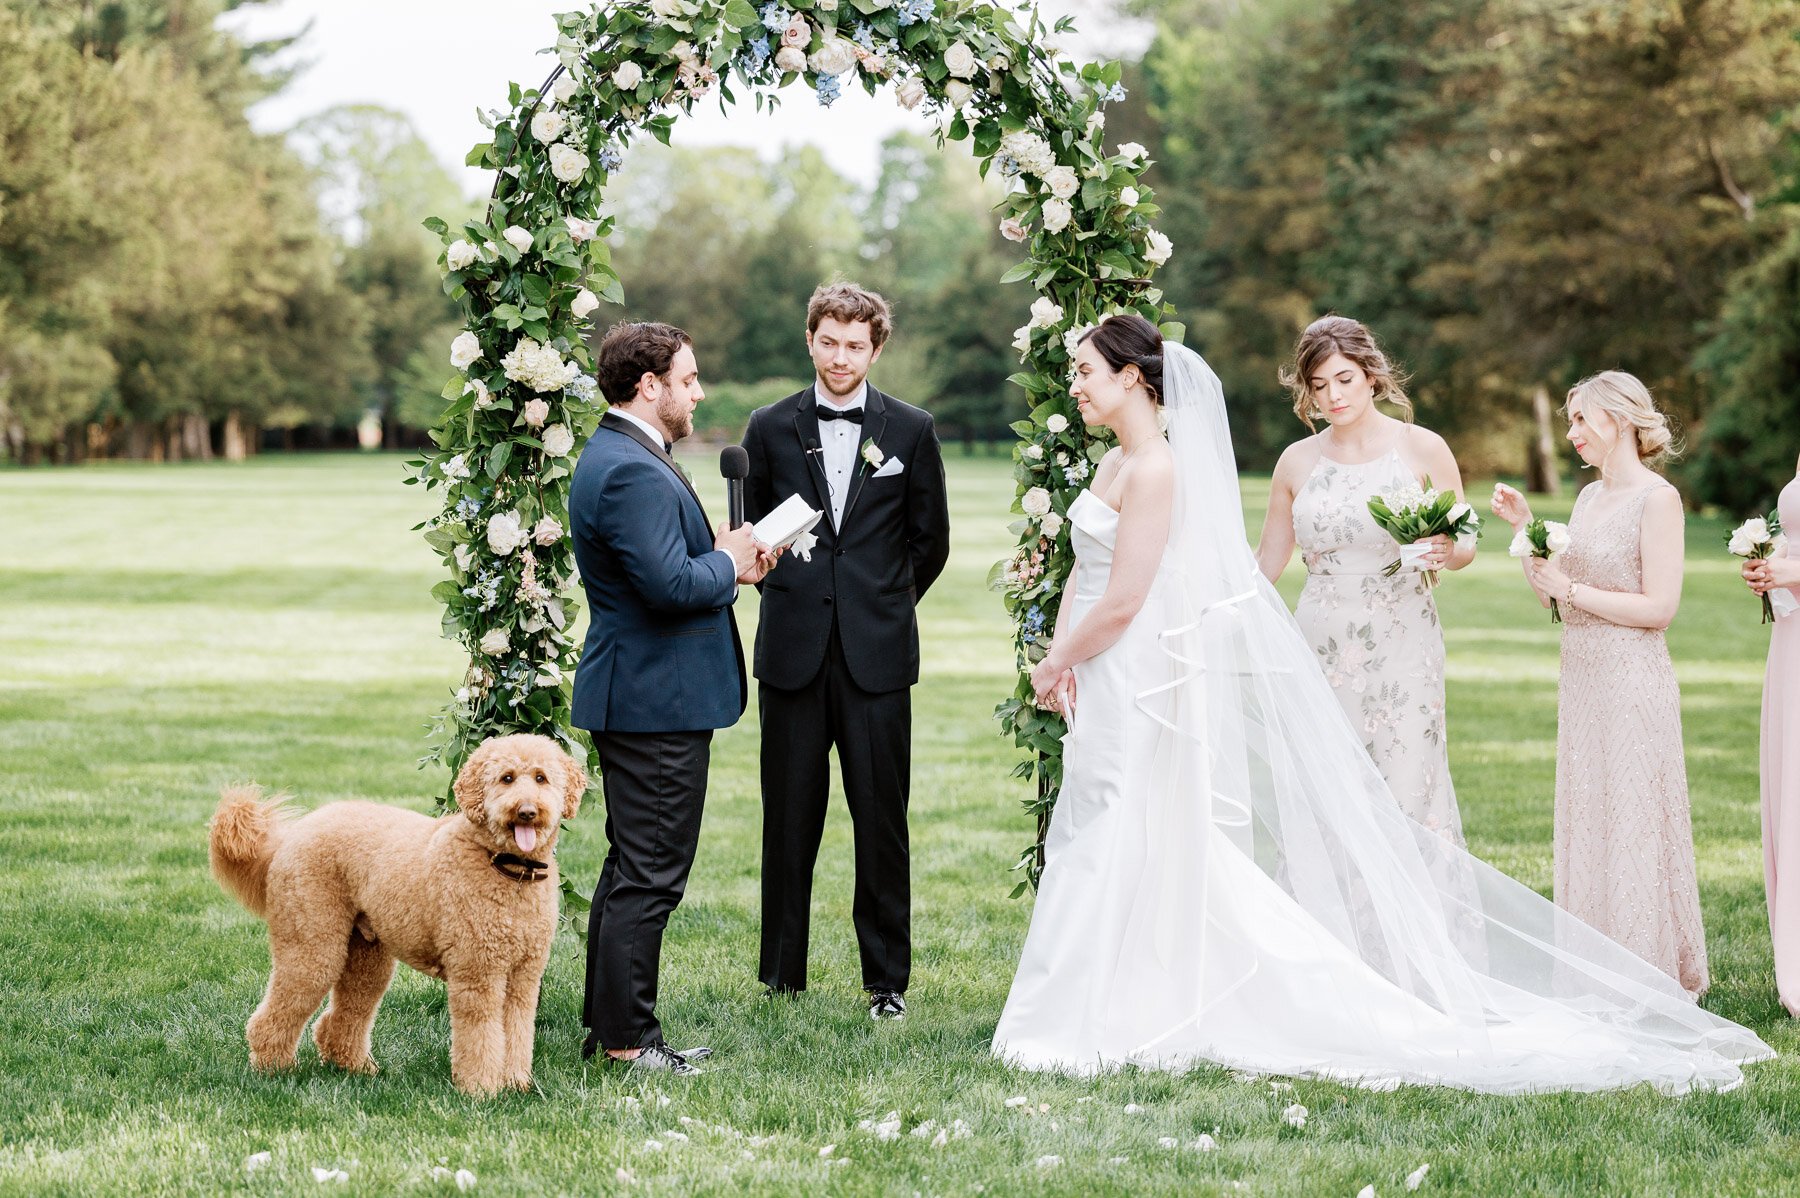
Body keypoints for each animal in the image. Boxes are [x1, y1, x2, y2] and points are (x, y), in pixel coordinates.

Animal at [207, 726, 583, 1093]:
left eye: (541, 778)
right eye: (506, 778)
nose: (527, 811)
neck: (504, 868)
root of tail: (289, 837)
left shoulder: (523, 977)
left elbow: (518, 1032)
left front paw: (517, 1084)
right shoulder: (477, 974)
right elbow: (480, 1036)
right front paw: (481, 1090)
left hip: (365, 955)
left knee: (342, 1017)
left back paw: (357, 1069)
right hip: (313, 943)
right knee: (276, 1012)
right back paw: (274, 1069)